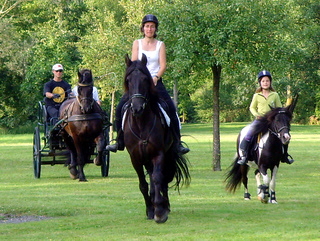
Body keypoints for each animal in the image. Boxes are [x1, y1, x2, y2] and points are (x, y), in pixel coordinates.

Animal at [121, 53, 189, 223]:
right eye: (128, 80)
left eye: (146, 79)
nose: (137, 108)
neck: (141, 123)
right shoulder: (135, 158)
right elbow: (143, 184)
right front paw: (150, 210)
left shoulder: (158, 154)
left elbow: (158, 179)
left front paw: (159, 212)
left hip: (167, 155)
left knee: (162, 179)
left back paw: (164, 205)